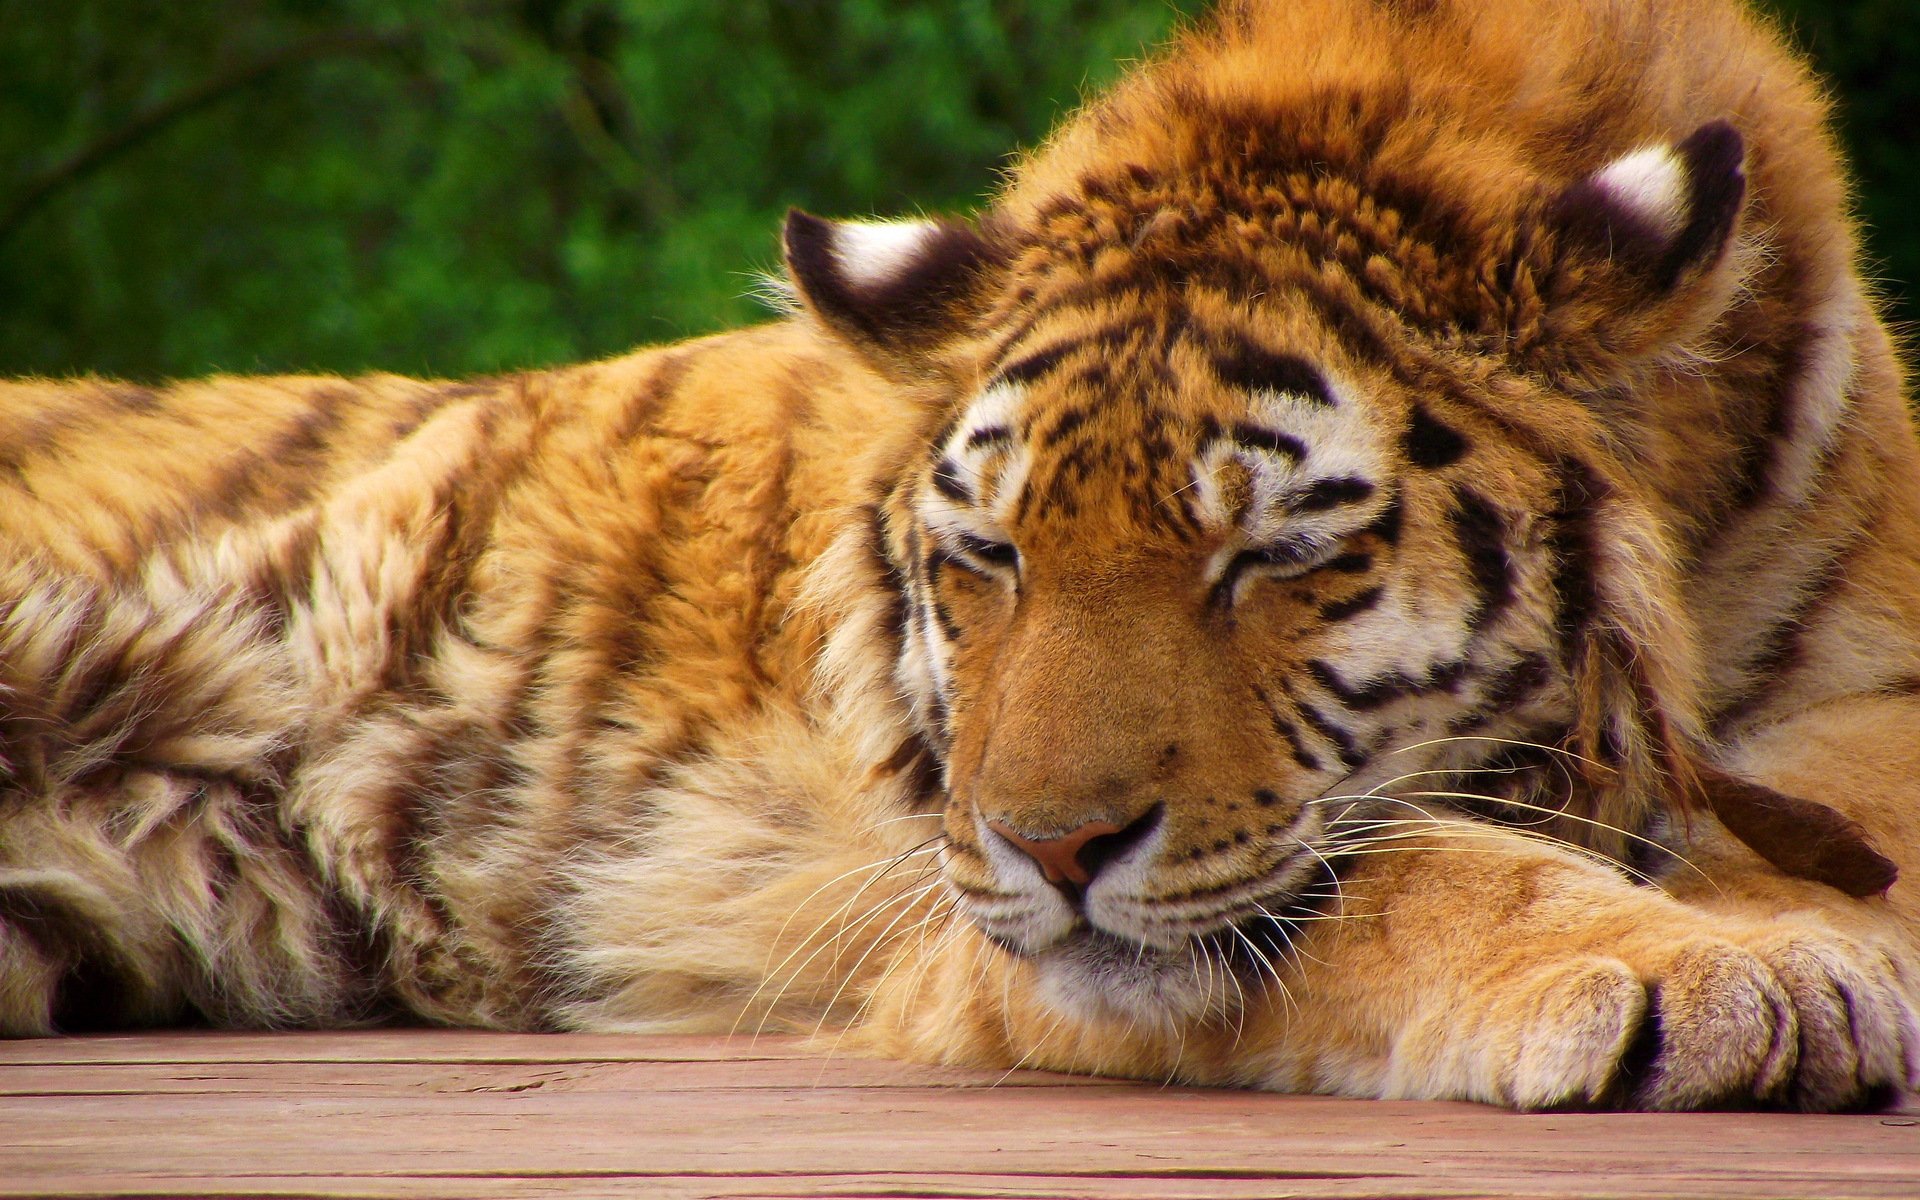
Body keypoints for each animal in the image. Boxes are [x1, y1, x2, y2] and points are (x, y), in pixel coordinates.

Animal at [3, 0, 1918, 1112]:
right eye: (992, 555)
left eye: (1270, 555)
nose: (1048, 848)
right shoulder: (971, 920)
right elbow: (1411, 869)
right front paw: (1725, 974)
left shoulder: (1866, 683)